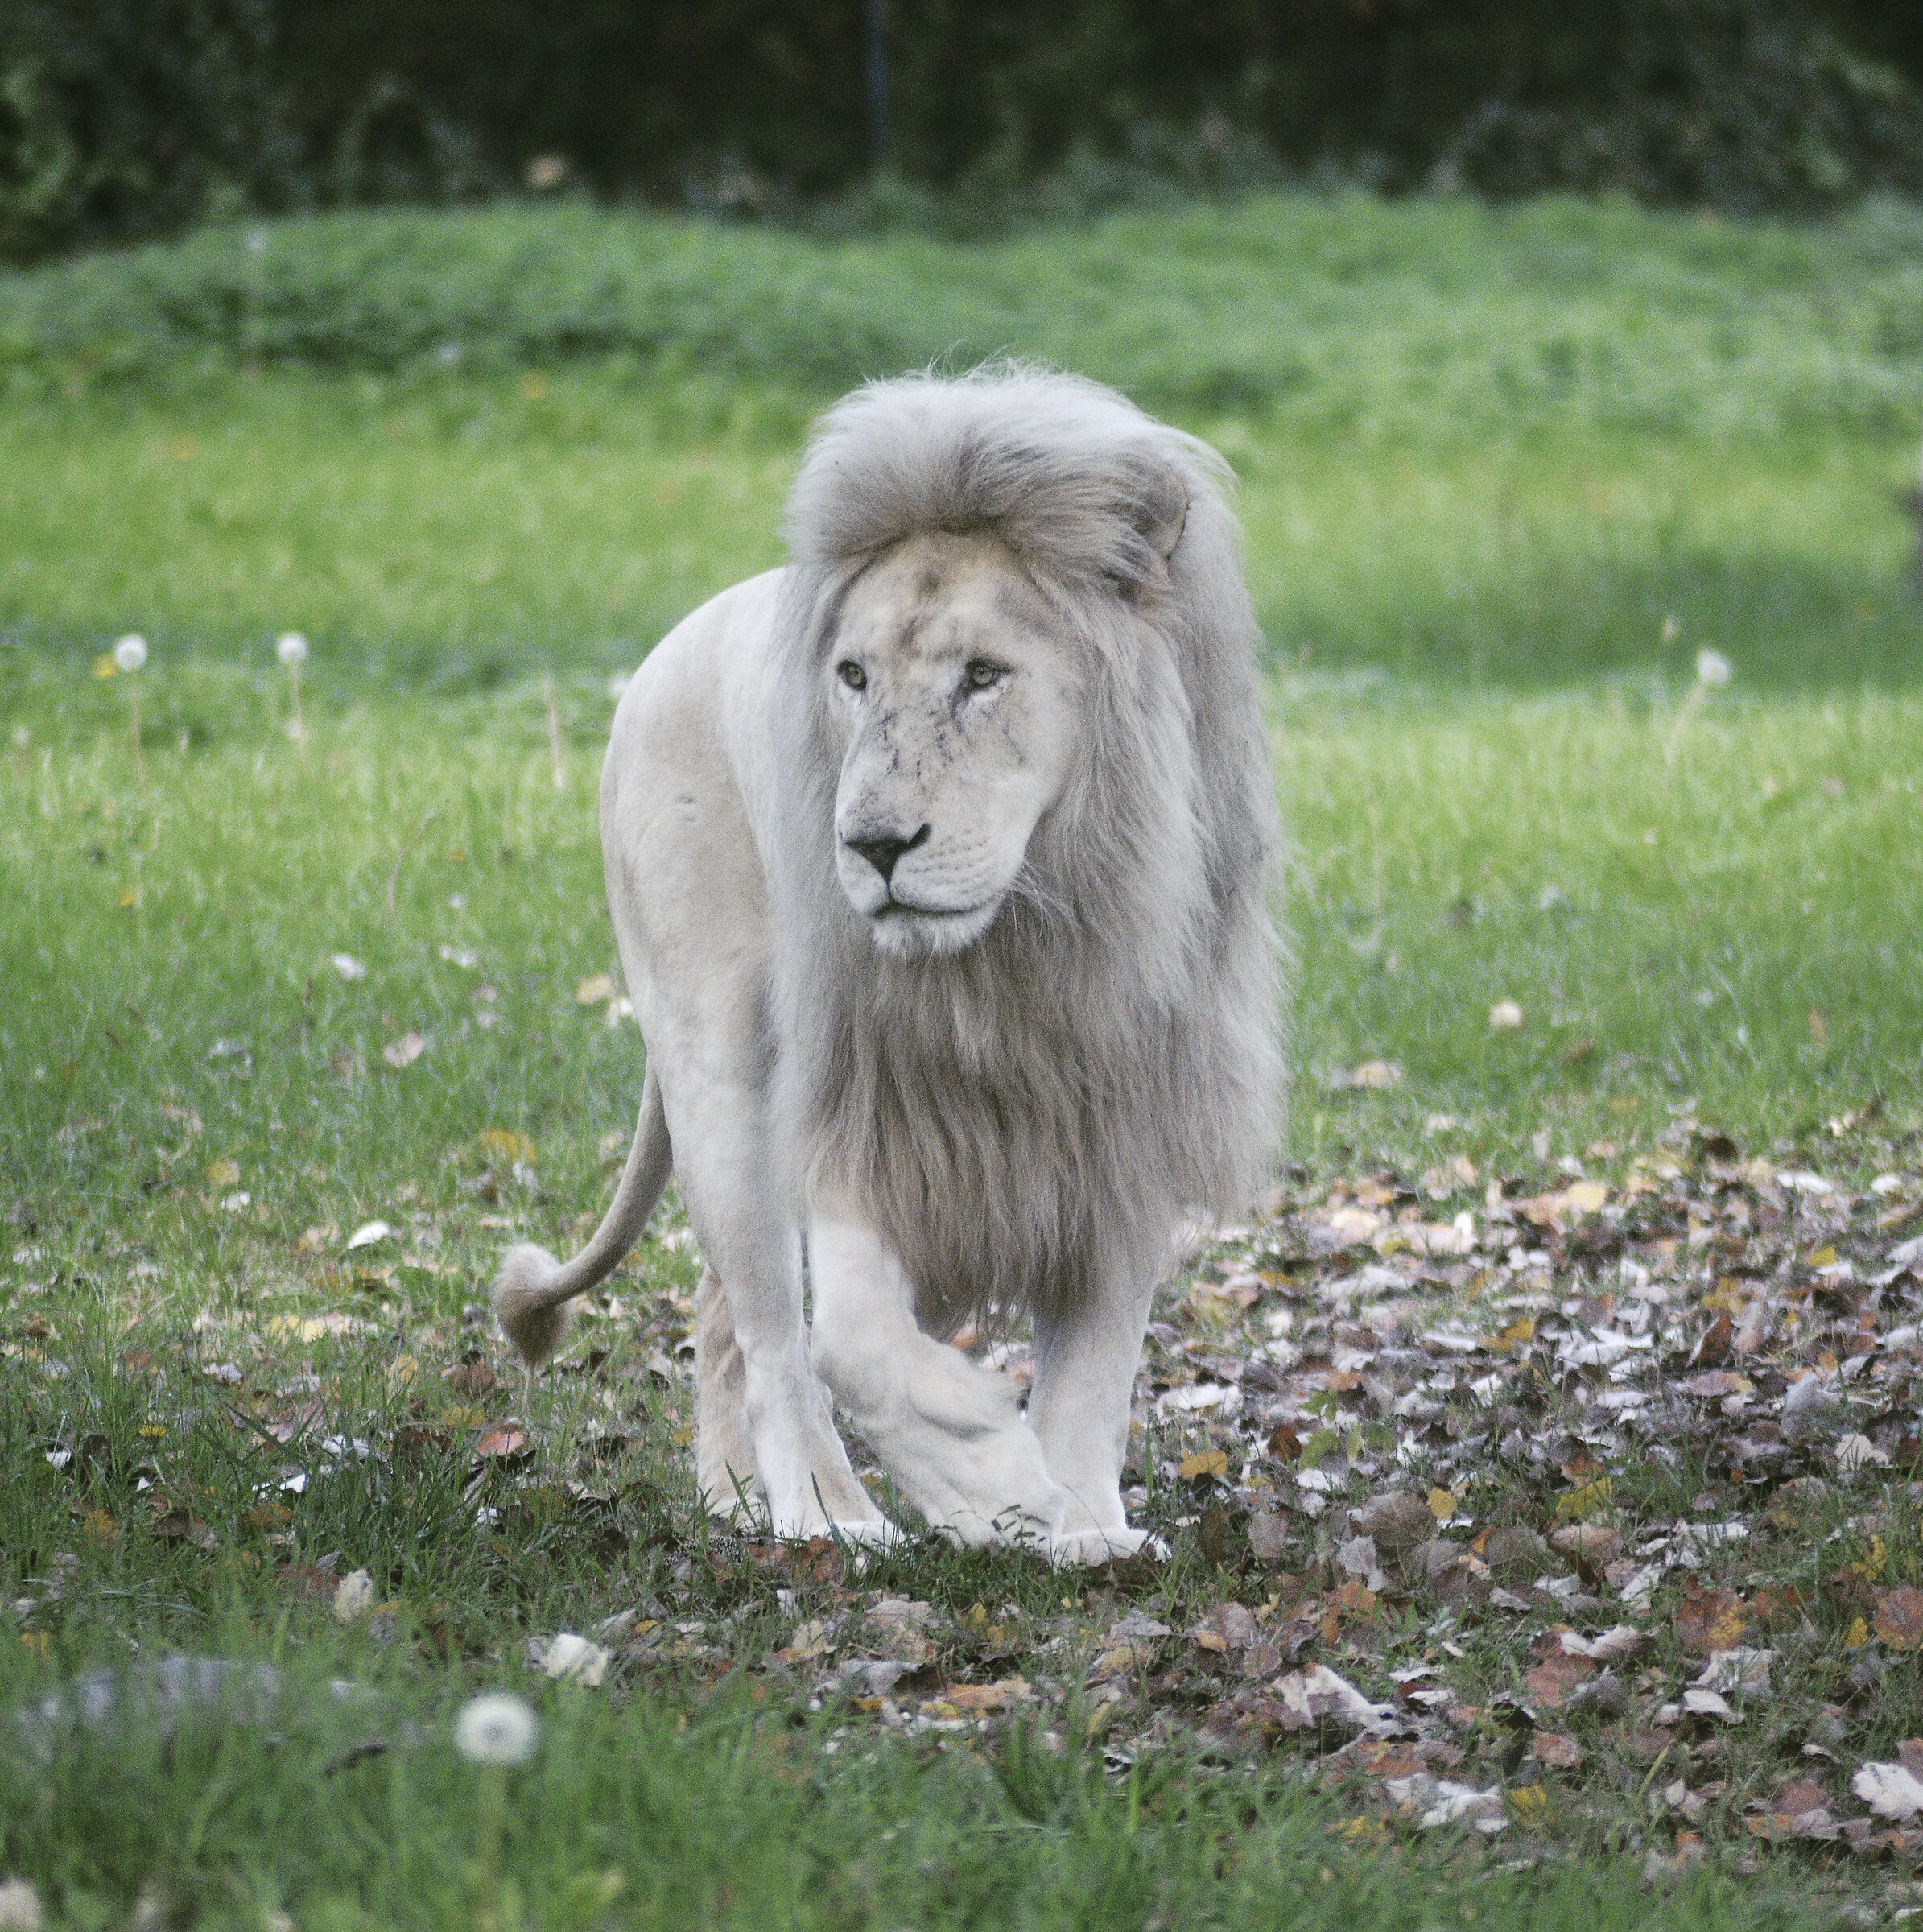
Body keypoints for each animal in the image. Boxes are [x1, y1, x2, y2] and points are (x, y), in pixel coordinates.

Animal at [494, 366, 1284, 1564]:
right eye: (854, 677)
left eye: (984, 676)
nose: (870, 845)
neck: (1021, 955)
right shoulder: (860, 1101)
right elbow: (854, 1343)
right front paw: (988, 1484)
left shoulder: (1125, 1126)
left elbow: (1098, 1365)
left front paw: (1085, 1528)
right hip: (720, 1073)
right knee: (768, 1330)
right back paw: (827, 1518)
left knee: (720, 1322)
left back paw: (741, 1502)